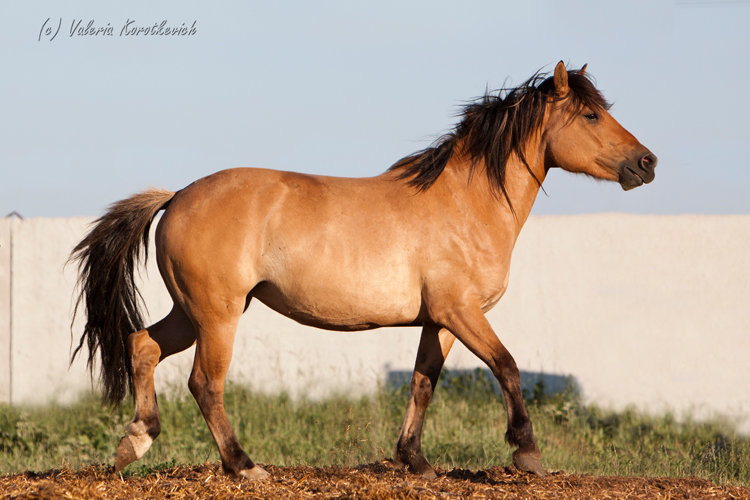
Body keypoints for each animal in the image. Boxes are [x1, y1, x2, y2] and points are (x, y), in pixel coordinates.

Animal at [72, 60, 656, 478]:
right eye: (591, 116)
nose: (647, 163)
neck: (466, 203)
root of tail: (176, 197)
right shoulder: (462, 312)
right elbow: (507, 366)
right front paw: (526, 452)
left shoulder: (440, 322)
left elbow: (423, 383)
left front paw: (415, 461)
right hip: (217, 315)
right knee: (204, 384)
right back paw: (244, 466)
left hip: (193, 311)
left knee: (143, 346)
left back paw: (134, 444)